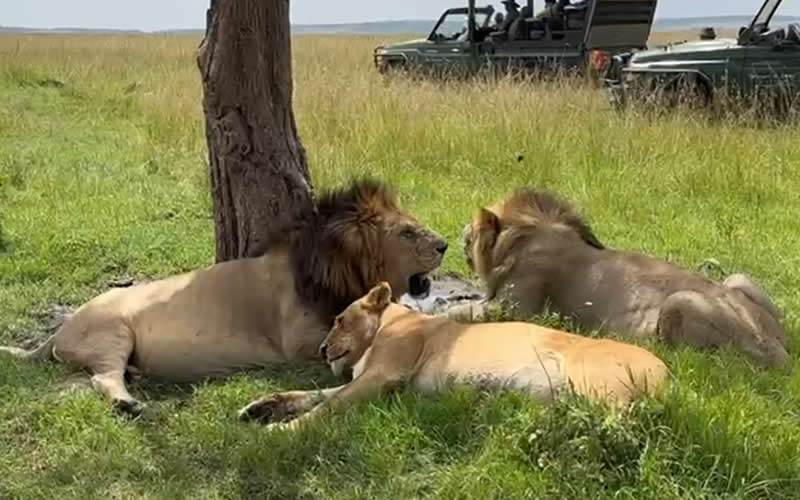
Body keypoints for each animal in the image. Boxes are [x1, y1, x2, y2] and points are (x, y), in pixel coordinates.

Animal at [0, 179, 448, 415]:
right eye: (408, 232)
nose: (444, 244)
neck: (326, 269)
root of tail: (59, 329)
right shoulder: (298, 342)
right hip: (112, 333)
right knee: (103, 378)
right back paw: (134, 405)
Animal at [238, 282, 669, 431]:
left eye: (340, 319)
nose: (322, 349)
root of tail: (667, 370)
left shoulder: (384, 376)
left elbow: (325, 408)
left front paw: (280, 432)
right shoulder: (365, 378)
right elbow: (308, 396)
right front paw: (259, 408)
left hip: (590, 380)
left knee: (623, 423)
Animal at [461, 188, 789, 368]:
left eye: (471, 233)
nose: (461, 232)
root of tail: (774, 345)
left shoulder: (516, 309)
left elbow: (468, 311)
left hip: (679, 302)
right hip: (738, 279)